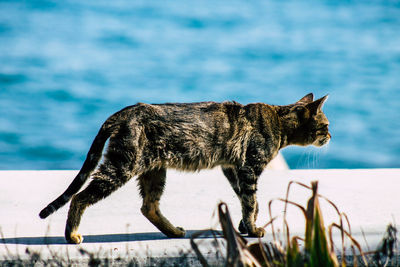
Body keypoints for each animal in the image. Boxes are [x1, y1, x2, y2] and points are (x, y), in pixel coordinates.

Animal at [39, 92, 330, 245]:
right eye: (326, 125)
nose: (330, 136)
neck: (279, 122)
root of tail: (124, 112)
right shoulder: (250, 167)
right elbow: (251, 201)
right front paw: (252, 228)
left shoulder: (232, 167)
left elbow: (248, 201)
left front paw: (245, 225)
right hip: (122, 165)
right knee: (79, 197)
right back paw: (72, 234)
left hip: (154, 171)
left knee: (148, 206)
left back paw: (174, 232)